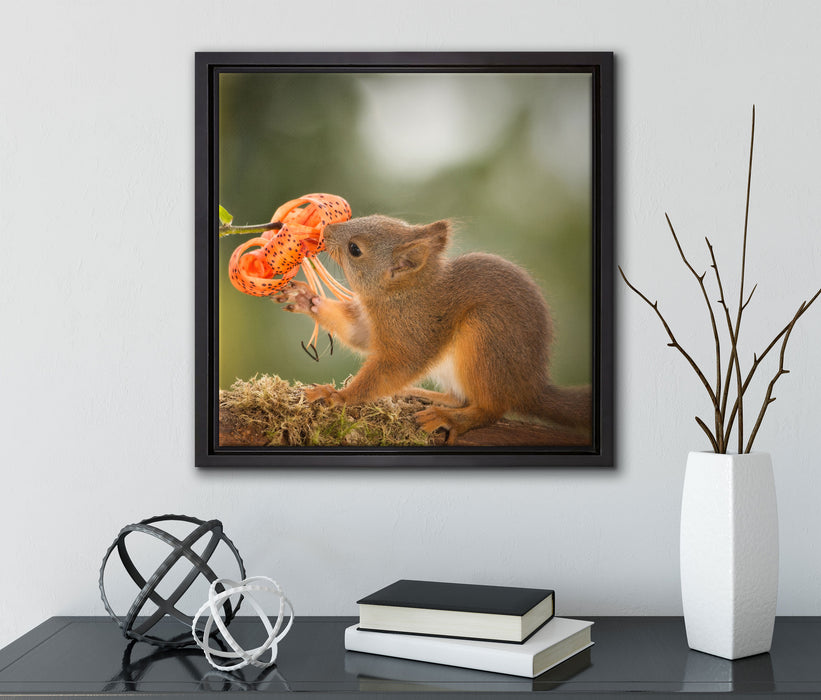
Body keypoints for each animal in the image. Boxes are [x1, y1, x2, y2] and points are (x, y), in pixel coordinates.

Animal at [274, 215, 592, 445]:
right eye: (373, 216)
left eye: (355, 249)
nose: (325, 230)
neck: (401, 295)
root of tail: (529, 388)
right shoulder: (372, 326)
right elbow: (357, 335)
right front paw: (306, 299)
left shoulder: (414, 332)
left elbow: (393, 368)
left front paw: (339, 397)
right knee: (459, 398)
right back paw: (420, 394)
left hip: (485, 339)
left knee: (490, 408)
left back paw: (451, 418)